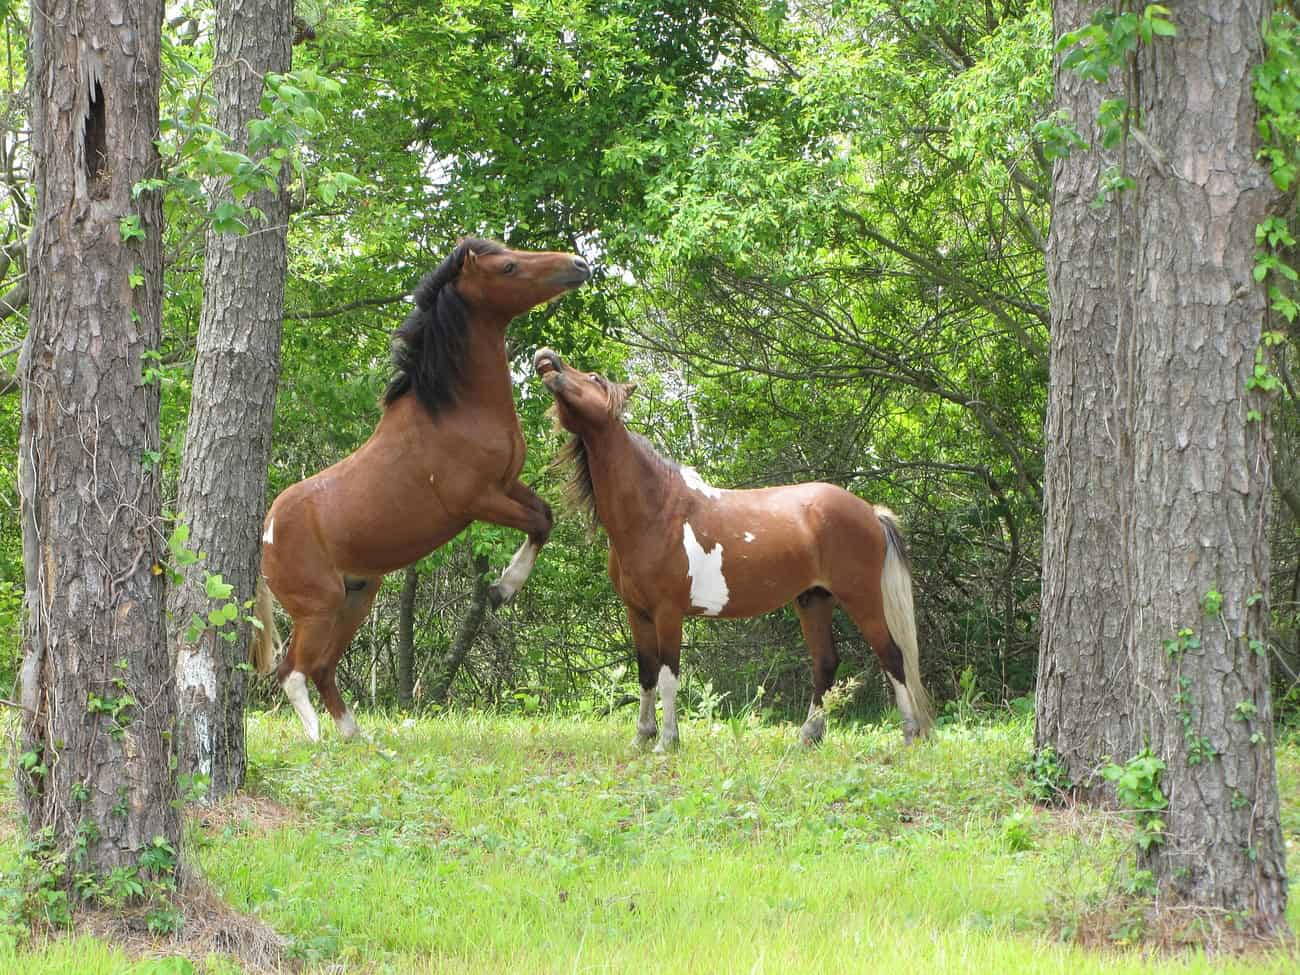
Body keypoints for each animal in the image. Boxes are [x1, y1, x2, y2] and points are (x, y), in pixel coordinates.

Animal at [251, 240, 591, 741]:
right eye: (508, 266)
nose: (578, 264)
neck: (450, 410)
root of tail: (266, 532)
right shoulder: (476, 501)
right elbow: (537, 523)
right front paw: (503, 588)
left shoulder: (507, 485)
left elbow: (544, 516)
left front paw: (502, 588)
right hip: (319, 606)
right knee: (292, 671)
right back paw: (318, 740)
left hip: (357, 598)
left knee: (323, 669)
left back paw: (357, 739)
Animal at [533, 347, 933, 752]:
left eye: (595, 378)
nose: (546, 357)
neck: (655, 513)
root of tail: (870, 512)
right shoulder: (638, 612)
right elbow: (646, 674)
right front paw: (641, 739)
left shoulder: (667, 613)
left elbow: (668, 676)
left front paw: (667, 742)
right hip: (814, 600)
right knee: (826, 663)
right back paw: (808, 736)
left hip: (861, 598)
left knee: (892, 656)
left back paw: (909, 734)